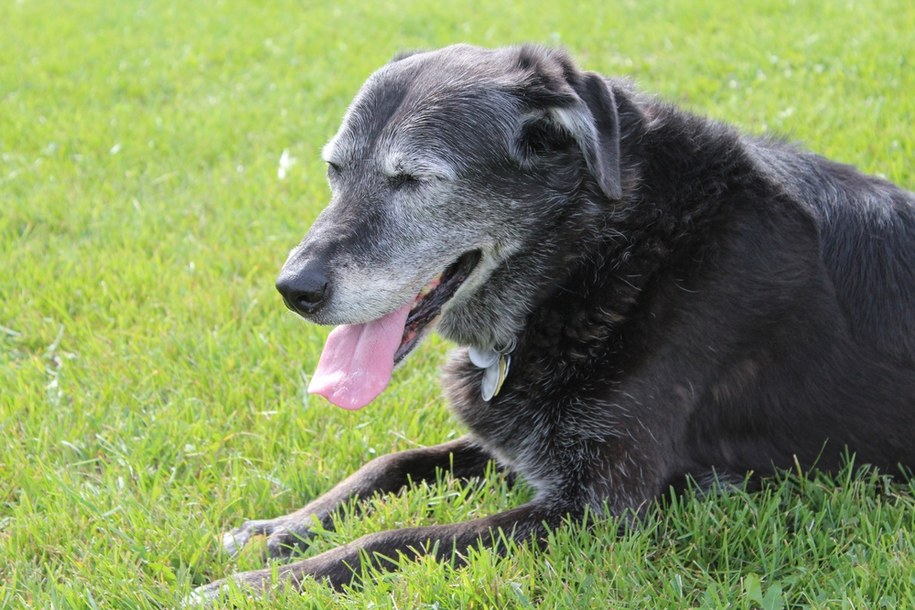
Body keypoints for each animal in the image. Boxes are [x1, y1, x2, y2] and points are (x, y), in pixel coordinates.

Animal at [188, 44, 915, 604]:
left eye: (415, 180)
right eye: (334, 169)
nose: (293, 289)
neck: (600, 253)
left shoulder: (596, 509)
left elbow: (400, 537)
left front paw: (260, 586)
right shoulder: (521, 442)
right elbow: (390, 464)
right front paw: (279, 529)